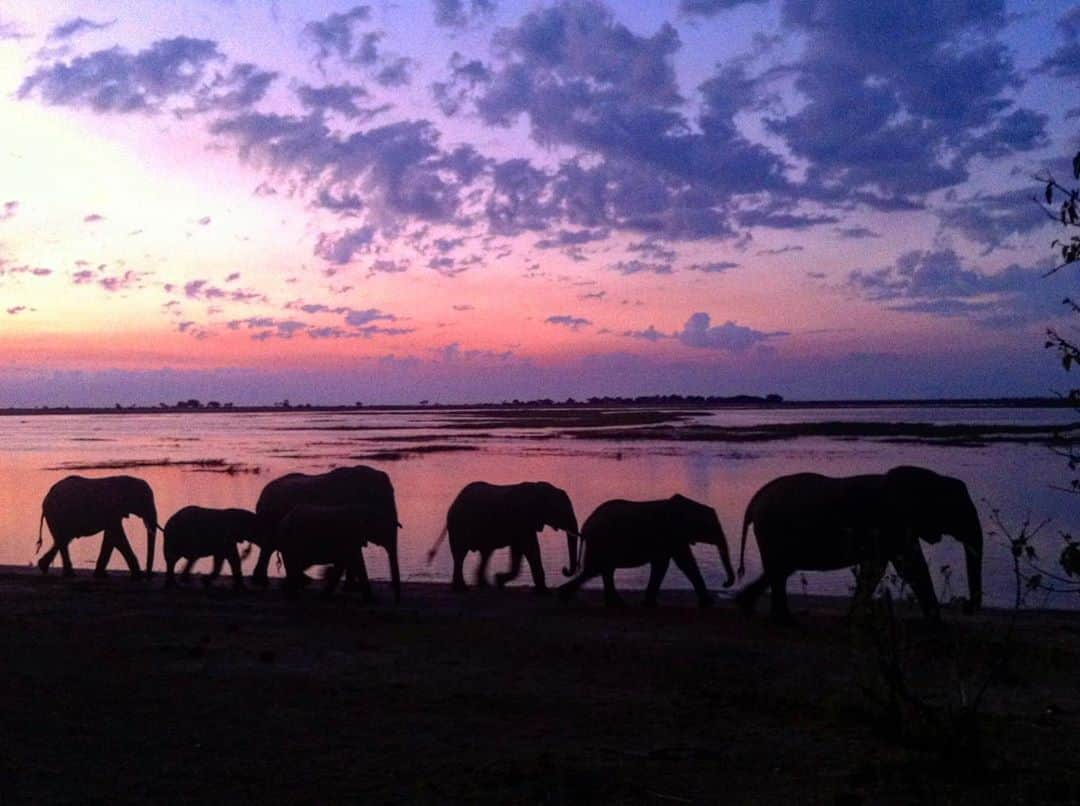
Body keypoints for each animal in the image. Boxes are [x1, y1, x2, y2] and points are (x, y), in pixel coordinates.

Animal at [249, 462, 401, 600]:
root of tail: (261, 496)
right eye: (382, 501)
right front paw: (351, 588)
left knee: (270, 547)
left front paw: (351, 588)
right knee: (270, 546)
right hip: (271, 517)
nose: (395, 596)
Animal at [427, 477, 583, 592]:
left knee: (484, 553)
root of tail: (454, 502)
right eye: (561, 511)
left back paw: (484, 585)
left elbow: (519, 550)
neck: (540, 488)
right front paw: (544, 592)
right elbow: (530, 548)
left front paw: (499, 581)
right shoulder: (522, 518)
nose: (564, 569)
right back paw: (462, 589)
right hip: (459, 525)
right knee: (460, 554)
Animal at [557, 492, 734, 605]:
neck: (688, 506)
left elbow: (666, 564)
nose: (725, 583)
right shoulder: (671, 534)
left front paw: (649, 603)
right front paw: (708, 603)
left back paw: (615, 602)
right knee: (595, 569)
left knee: (603, 570)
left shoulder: (672, 538)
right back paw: (564, 596)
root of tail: (586, 526)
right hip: (601, 541)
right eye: (712, 528)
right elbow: (681, 563)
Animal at [738, 464, 984, 622]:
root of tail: (754, 500)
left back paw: (751, 607)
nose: (966, 606)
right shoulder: (891, 523)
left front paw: (852, 618)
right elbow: (910, 567)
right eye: (957, 511)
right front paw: (936, 622)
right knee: (779, 570)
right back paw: (781, 618)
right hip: (772, 530)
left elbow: (879, 568)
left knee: (780, 569)